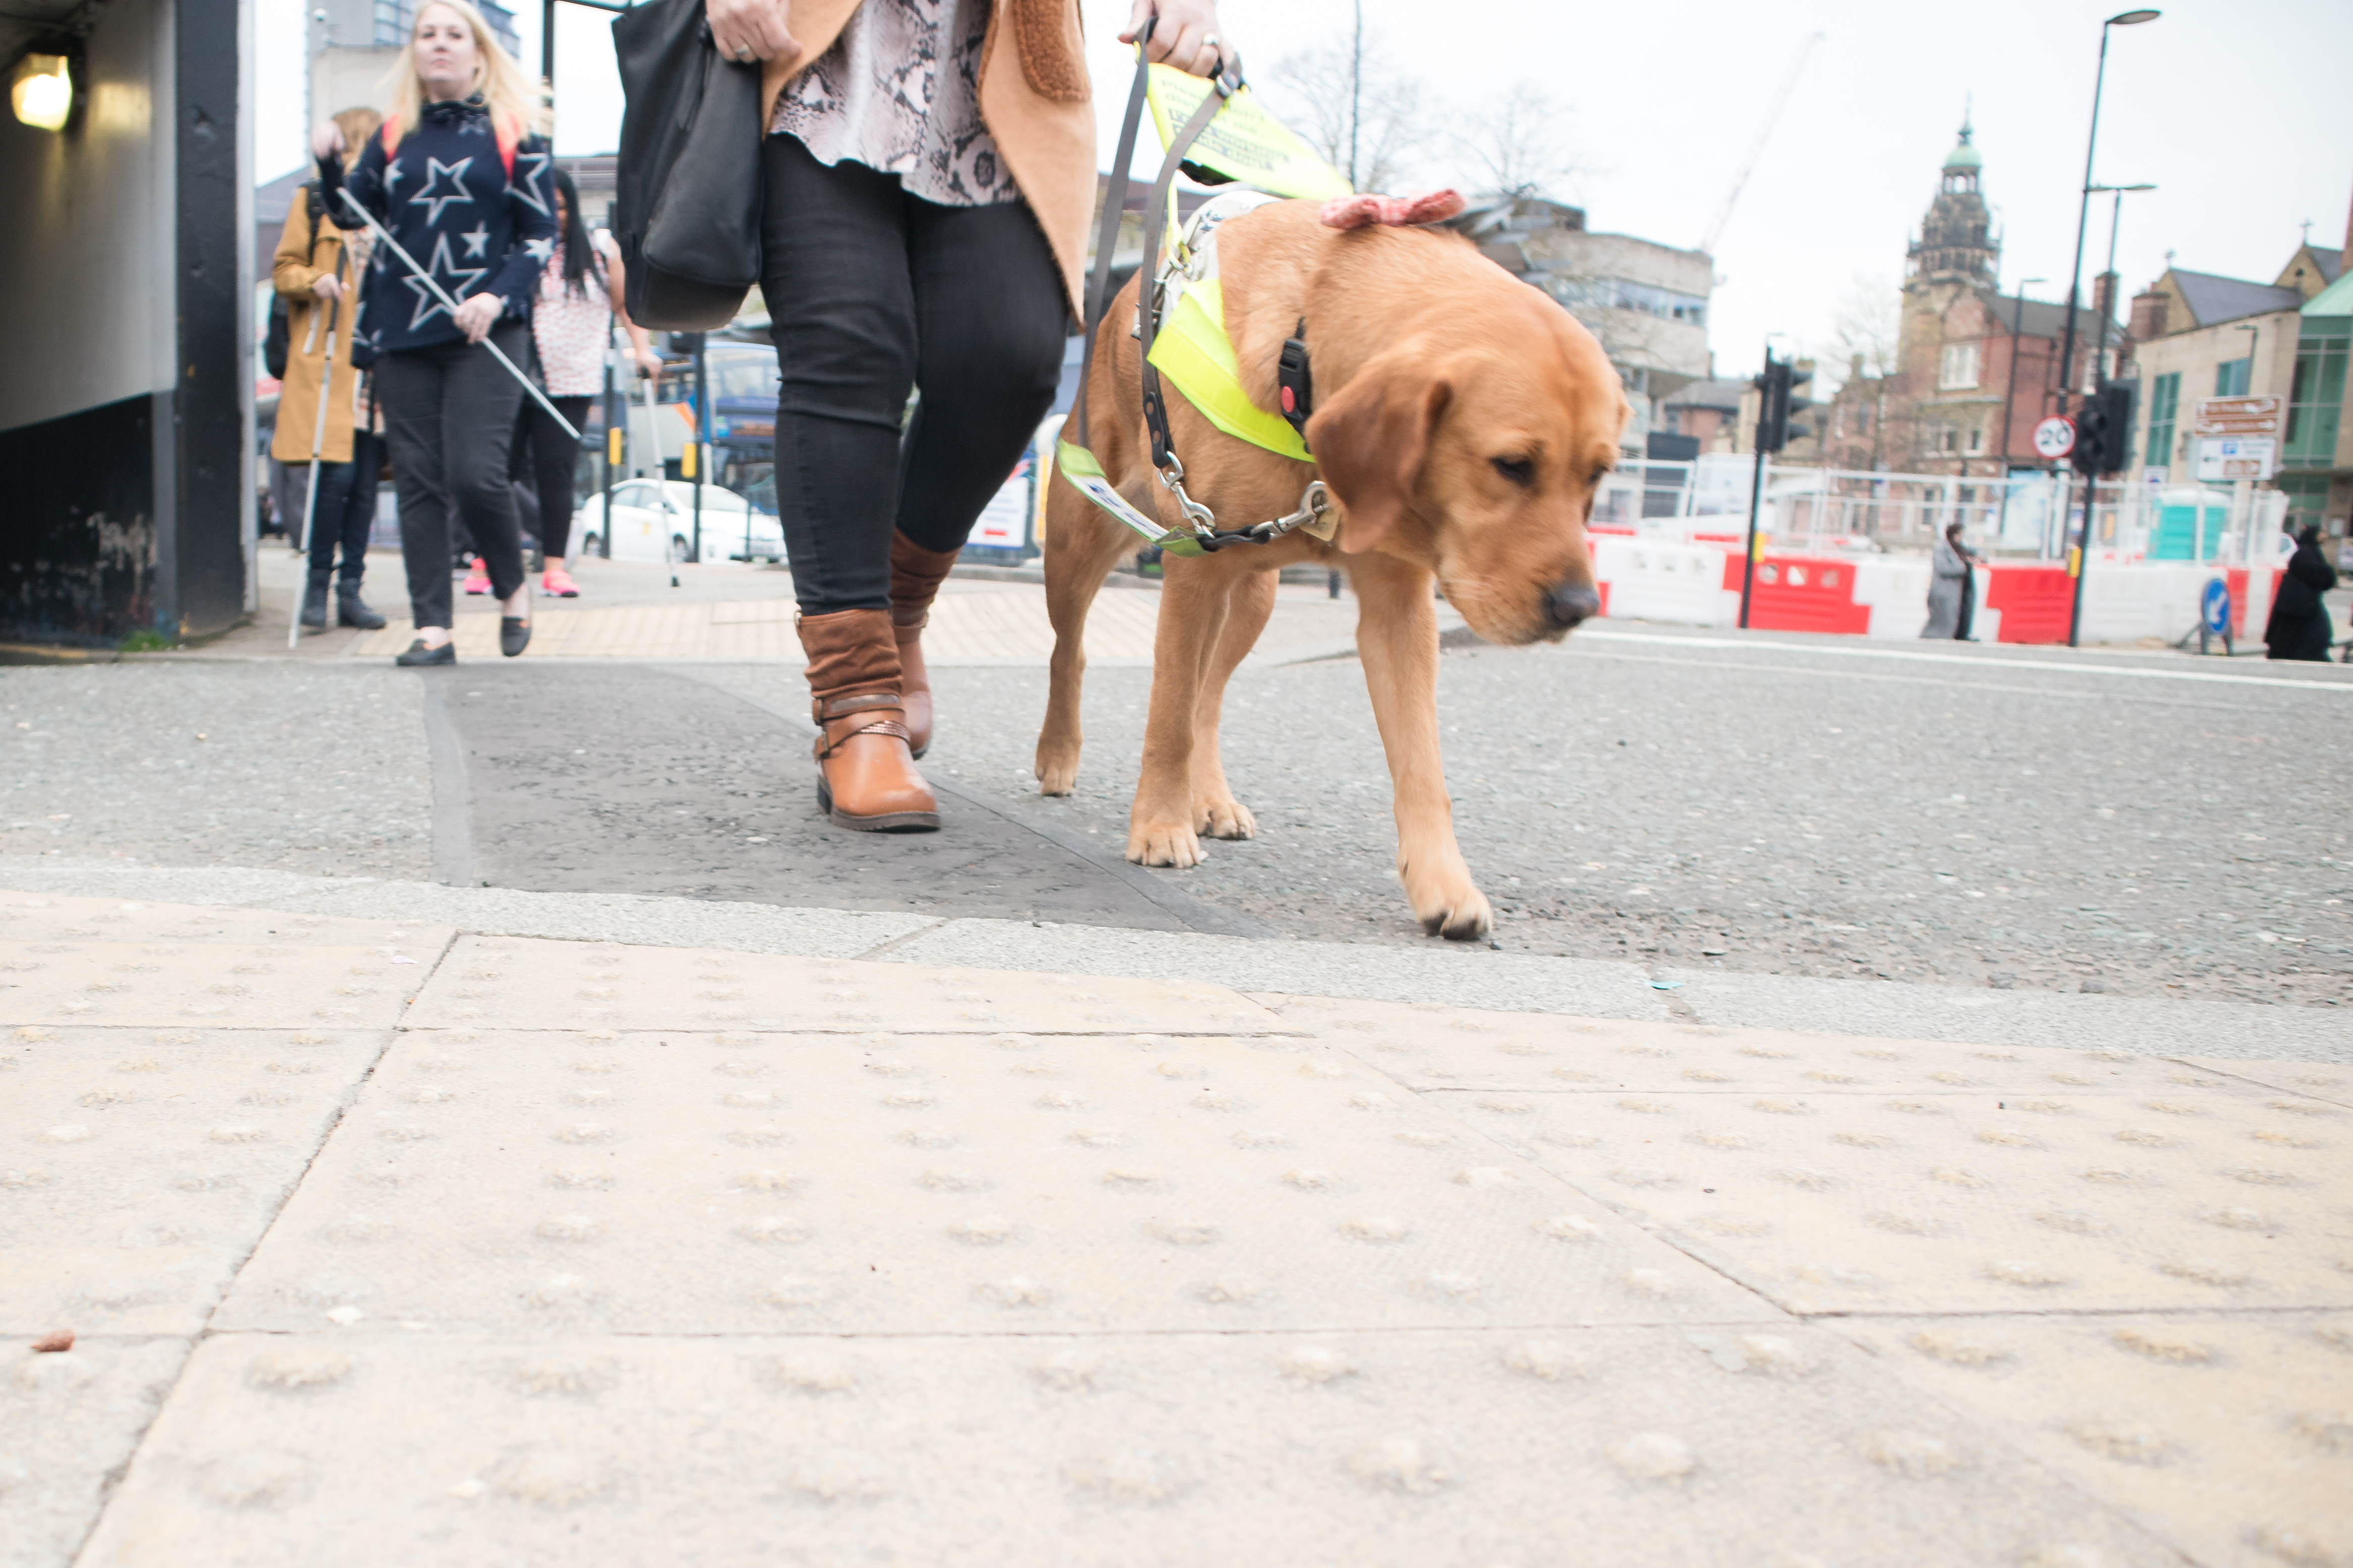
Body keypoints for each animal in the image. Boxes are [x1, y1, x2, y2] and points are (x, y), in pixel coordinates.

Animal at [1040, 192, 1628, 931]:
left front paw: (1442, 879)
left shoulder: (1399, 607)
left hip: (1253, 596)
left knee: (1209, 695)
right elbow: (1168, 716)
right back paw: (1058, 754)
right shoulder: (1194, 568)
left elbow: (1421, 762)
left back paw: (1209, 796)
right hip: (1082, 538)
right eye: (1512, 465)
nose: (1578, 608)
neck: (1303, 365)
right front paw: (1158, 827)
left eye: (1598, 474)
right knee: (1072, 652)